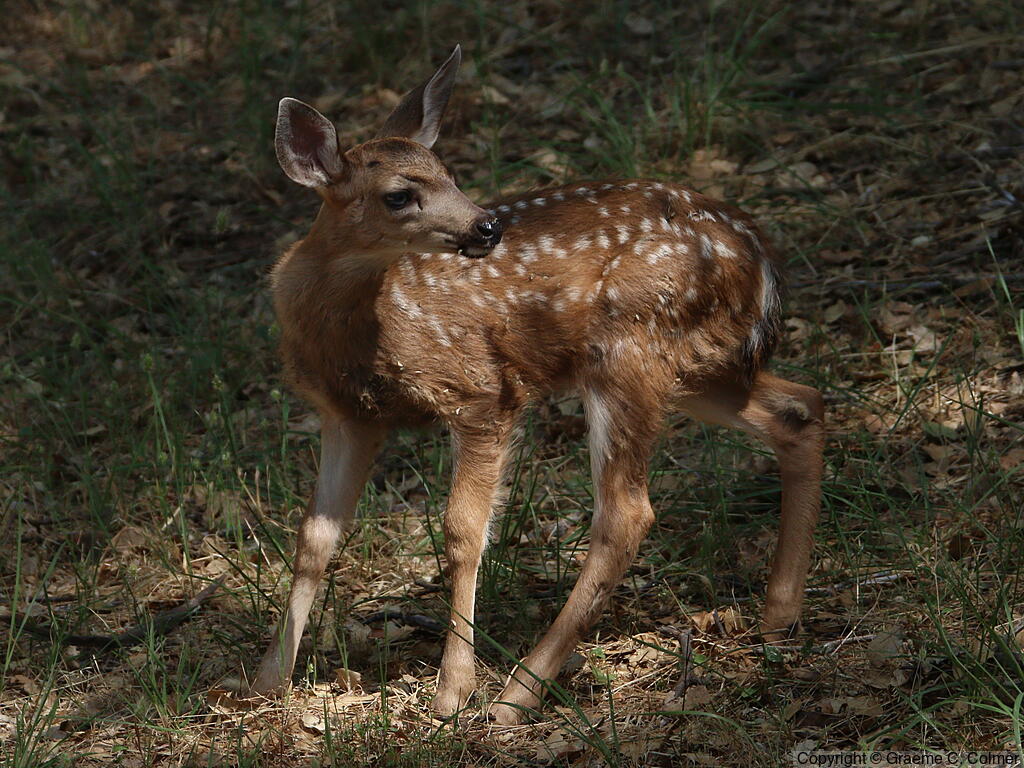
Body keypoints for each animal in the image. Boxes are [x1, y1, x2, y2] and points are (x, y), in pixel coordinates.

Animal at [247, 45, 825, 725]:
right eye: (399, 195)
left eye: (449, 172)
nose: (486, 226)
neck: (359, 328)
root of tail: (761, 260)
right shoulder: (349, 414)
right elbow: (313, 538)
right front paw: (265, 681)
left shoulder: (480, 390)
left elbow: (462, 534)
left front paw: (453, 689)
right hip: (695, 367)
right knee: (800, 408)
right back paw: (780, 615)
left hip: (629, 349)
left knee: (626, 513)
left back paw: (518, 691)